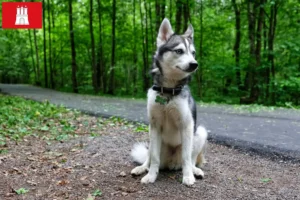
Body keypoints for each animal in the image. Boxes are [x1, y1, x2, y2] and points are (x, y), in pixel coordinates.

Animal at [131, 18, 209, 186]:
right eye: (179, 51)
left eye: (193, 53)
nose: (194, 64)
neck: (167, 92)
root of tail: (171, 162)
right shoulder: (155, 125)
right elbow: (154, 157)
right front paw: (151, 176)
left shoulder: (187, 125)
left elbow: (186, 158)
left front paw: (188, 177)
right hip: (151, 136)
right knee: (149, 157)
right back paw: (142, 168)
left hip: (200, 132)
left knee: (191, 159)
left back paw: (195, 170)